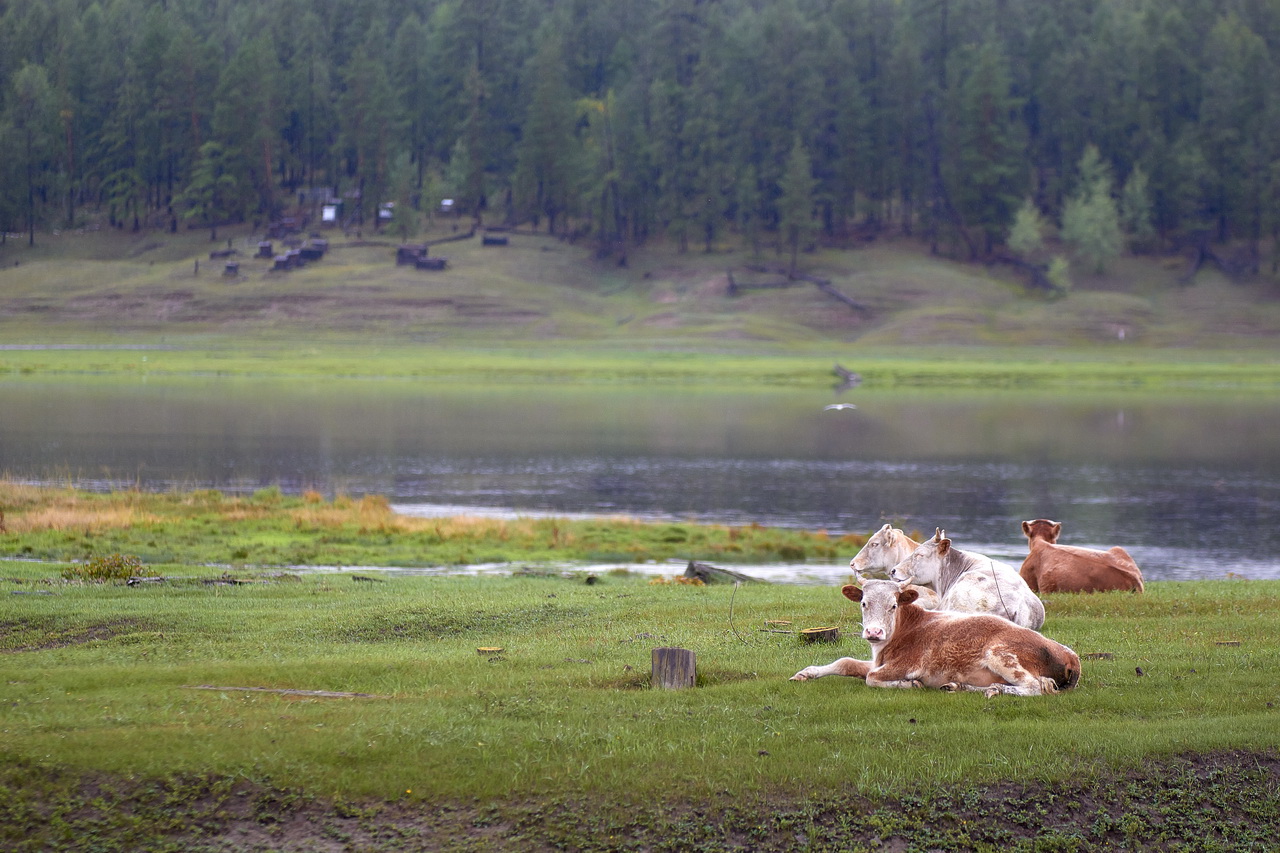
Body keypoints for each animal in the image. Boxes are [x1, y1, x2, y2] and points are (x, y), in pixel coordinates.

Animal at [788, 573, 1080, 696]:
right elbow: (845, 662)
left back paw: (994, 689)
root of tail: (1071, 655)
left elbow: (871, 678)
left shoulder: (906, 664)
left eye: (893, 605)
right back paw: (960, 686)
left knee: (1033, 687)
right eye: (863, 603)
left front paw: (910, 685)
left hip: (1001, 655)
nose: (874, 632)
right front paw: (805, 673)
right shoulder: (877, 661)